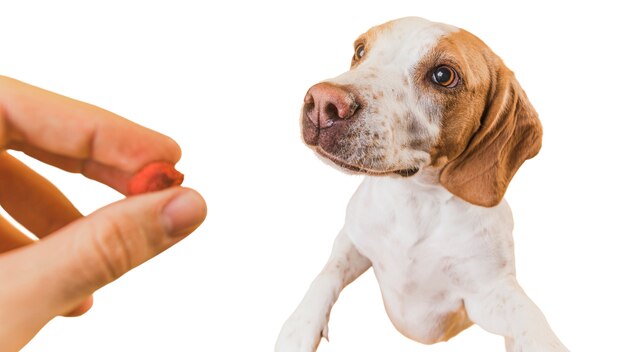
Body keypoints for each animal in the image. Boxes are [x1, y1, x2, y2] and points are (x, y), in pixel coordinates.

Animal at [272, 17, 564, 352]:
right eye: (360, 51)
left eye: (443, 75)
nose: (322, 101)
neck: (416, 200)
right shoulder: (353, 241)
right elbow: (327, 273)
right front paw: (299, 326)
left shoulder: (485, 297)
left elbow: (528, 318)